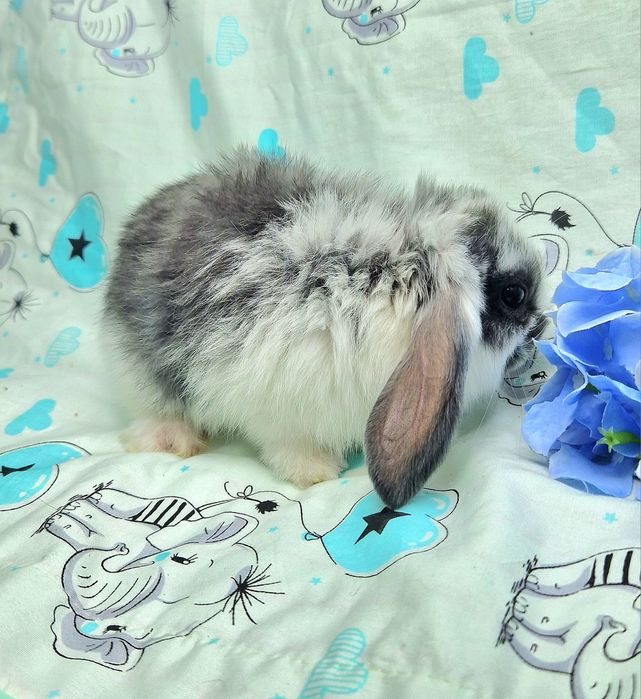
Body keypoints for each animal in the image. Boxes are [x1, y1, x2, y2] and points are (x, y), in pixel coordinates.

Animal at [103, 147, 545, 508]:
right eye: (514, 294)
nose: (541, 331)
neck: (396, 282)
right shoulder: (279, 401)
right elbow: (287, 446)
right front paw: (318, 472)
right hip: (144, 375)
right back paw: (174, 438)